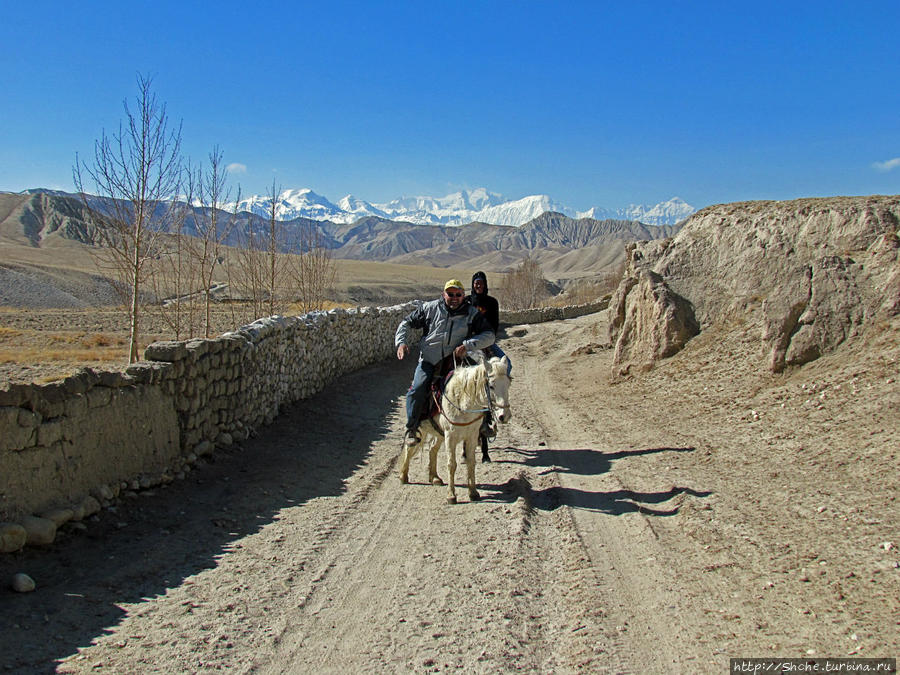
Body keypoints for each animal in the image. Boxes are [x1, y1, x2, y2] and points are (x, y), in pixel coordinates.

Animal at [400, 356, 512, 504]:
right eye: (491, 386)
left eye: (508, 384)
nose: (504, 416)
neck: (463, 403)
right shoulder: (450, 437)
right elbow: (451, 464)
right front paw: (451, 495)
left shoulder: (471, 436)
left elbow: (471, 462)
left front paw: (473, 492)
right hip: (421, 429)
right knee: (409, 447)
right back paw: (403, 476)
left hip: (439, 434)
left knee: (432, 449)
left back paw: (434, 477)